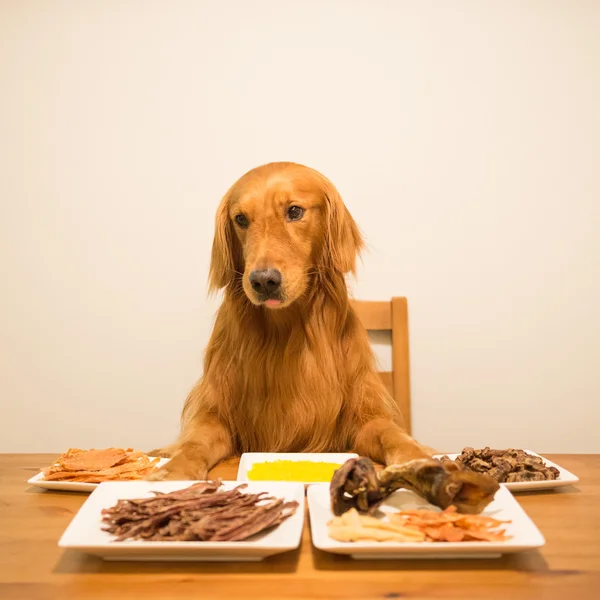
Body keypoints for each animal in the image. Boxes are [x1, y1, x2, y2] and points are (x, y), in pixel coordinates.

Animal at [149, 162, 432, 480]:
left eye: (294, 211)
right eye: (241, 219)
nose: (263, 281)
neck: (285, 329)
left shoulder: (364, 417)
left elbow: (391, 434)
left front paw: (420, 458)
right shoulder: (215, 416)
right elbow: (194, 442)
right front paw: (173, 470)